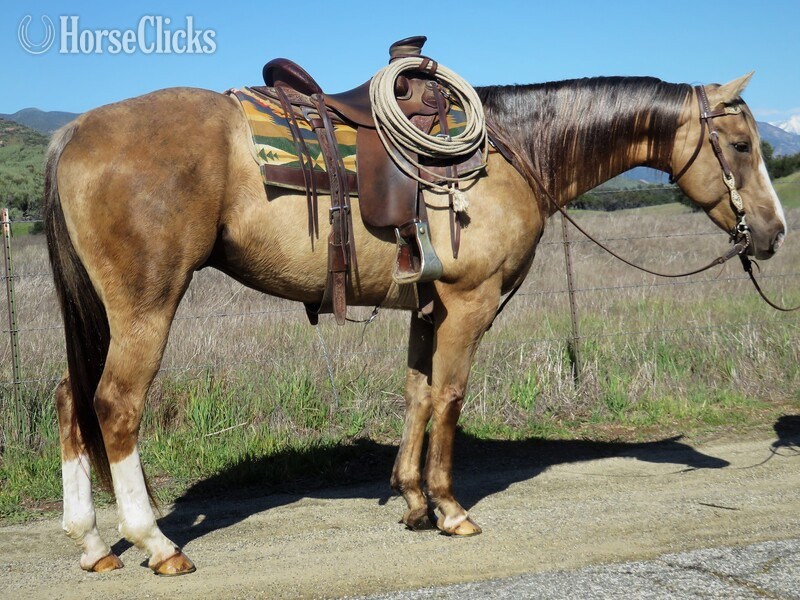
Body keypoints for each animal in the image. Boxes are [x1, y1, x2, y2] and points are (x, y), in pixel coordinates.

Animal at [44, 71, 786, 575]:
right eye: (740, 144)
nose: (774, 232)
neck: (510, 154)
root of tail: (73, 132)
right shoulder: (470, 301)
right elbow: (450, 397)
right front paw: (451, 510)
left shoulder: (428, 306)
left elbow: (416, 394)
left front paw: (411, 501)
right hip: (147, 305)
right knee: (116, 405)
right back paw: (156, 542)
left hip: (104, 313)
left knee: (70, 399)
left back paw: (92, 542)